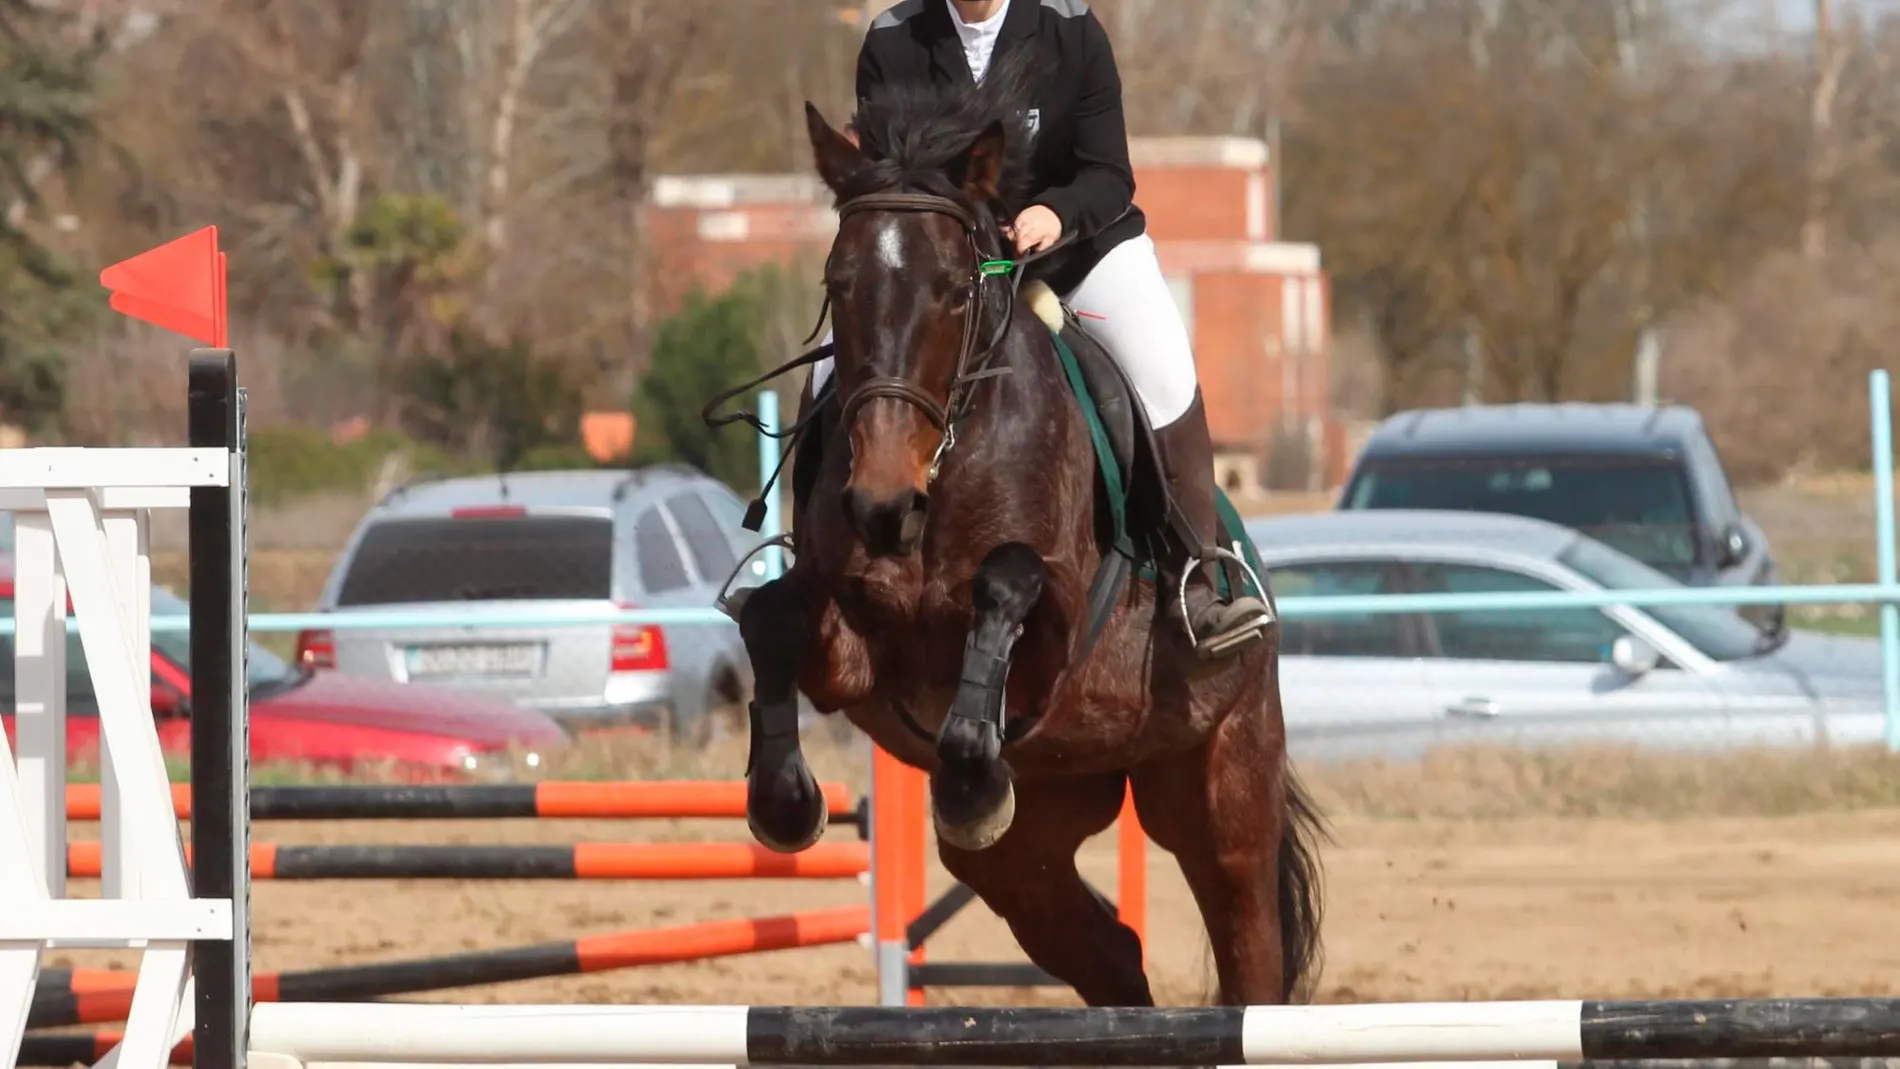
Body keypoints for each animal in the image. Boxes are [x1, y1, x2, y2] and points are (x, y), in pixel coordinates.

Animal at [706, 56, 1330, 1010]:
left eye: (954, 290)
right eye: (838, 285)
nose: (881, 503)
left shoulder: (1060, 636)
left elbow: (1006, 581)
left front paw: (967, 776)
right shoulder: (854, 652)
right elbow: (774, 617)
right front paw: (783, 801)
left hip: (1223, 779)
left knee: (1246, 940)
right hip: (1028, 846)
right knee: (1106, 952)